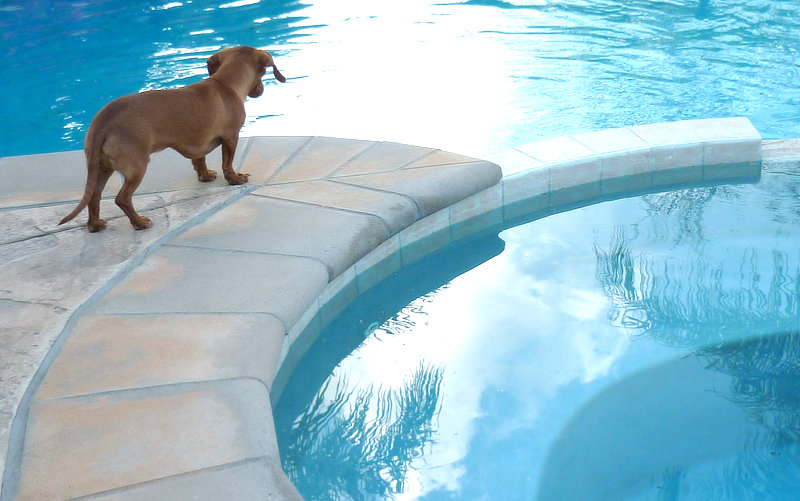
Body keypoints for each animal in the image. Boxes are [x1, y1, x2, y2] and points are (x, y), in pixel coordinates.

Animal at [59, 46, 286, 231]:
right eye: (263, 73)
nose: (260, 91)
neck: (225, 84)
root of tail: (102, 121)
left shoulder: (197, 143)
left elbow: (199, 161)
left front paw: (205, 176)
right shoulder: (231, 137)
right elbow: (227, 163)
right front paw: (235, 179)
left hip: (101, 168)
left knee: (94, 197)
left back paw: (95, 225)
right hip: (137, 168)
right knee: (122, 199)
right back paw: (139, 223)